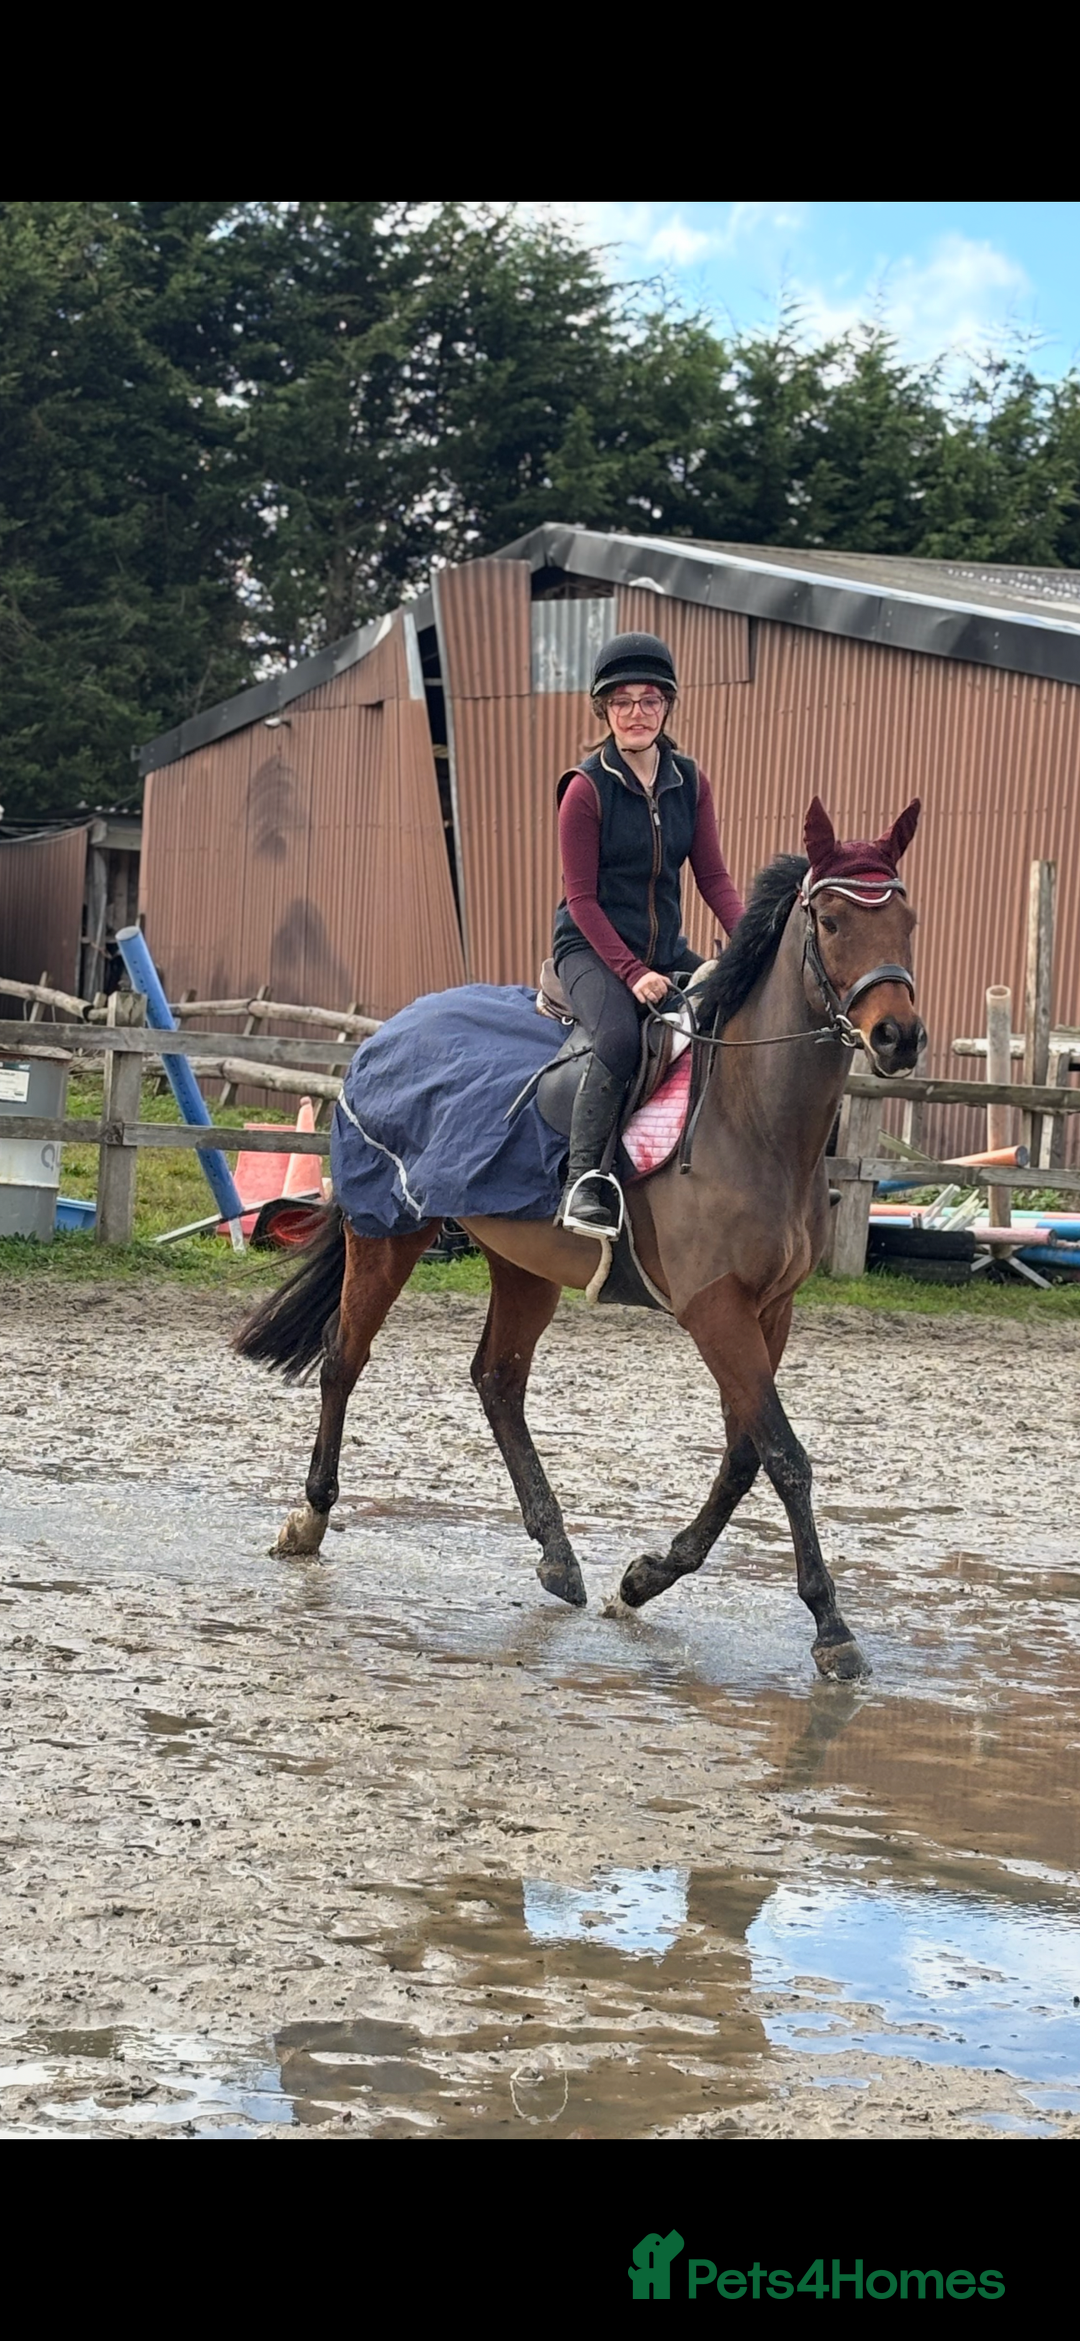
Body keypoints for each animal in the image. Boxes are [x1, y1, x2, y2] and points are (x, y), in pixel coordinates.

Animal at [235, 796, 925, 1681]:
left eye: (905, 919)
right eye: (832, 920)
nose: (899, 1036)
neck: (754, 1116)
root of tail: (386, 1032)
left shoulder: (771, 1308)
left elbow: (744, 1455)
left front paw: (645, 1578)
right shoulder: (715, 1309)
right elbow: (784, 1456)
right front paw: (832, 1628)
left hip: (520, 1261)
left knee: (497, 1380)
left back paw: (557, 1553)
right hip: (388, 1231)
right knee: (343, 1357)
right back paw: (310, 1519)